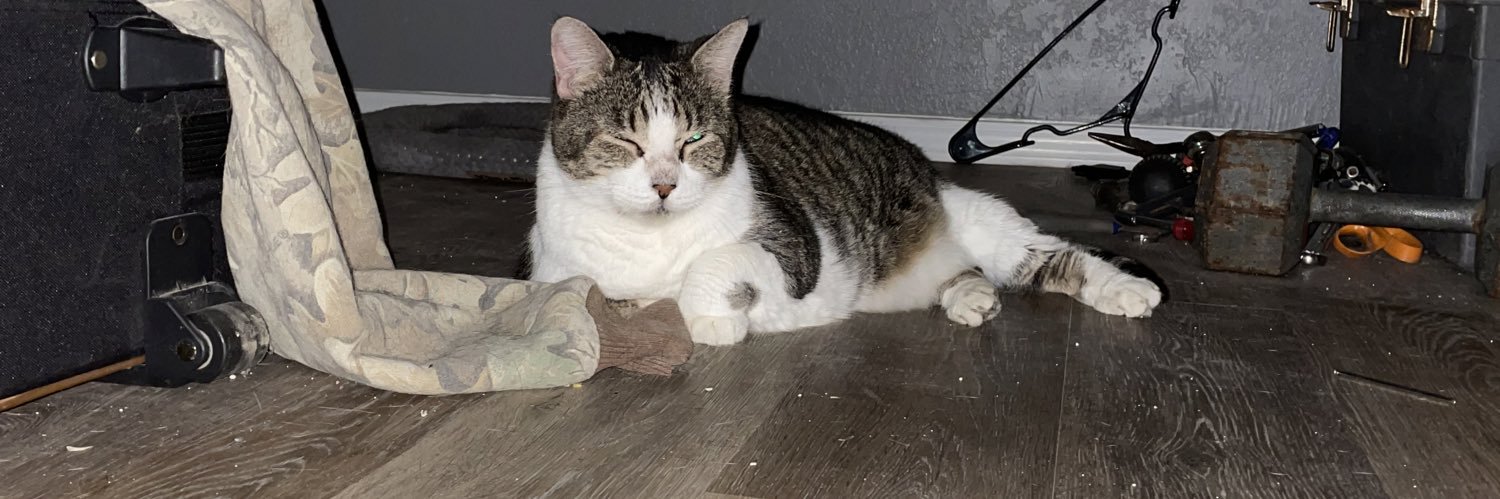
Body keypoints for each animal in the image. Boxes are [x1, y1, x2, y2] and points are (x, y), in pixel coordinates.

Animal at [527, 17, 1163, 345]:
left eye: (695, 139)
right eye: (626, 142)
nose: (664, 187)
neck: (650, 239)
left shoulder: (793, 248)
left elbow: (715, 263)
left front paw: (711, 318)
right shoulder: (554, 268)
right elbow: (590, 292)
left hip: (987, 224)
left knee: (1055, 255)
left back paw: (1127, 290)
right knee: (969, 273)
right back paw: (970, 295)